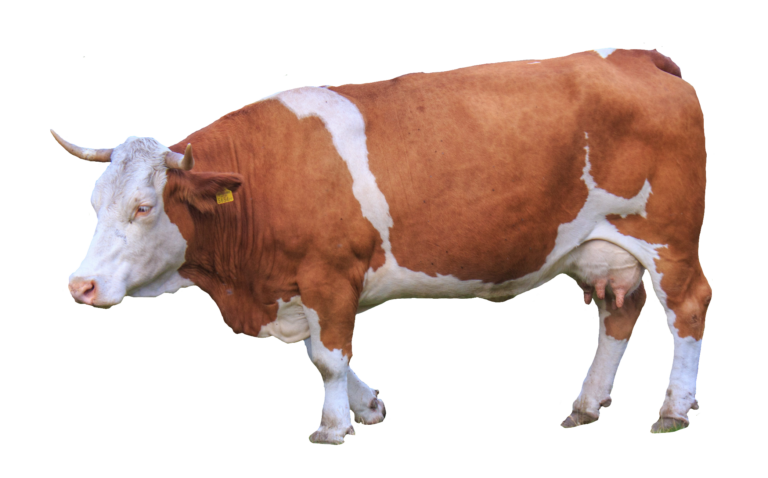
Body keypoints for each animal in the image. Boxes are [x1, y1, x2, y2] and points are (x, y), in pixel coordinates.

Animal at [55, 47, 711, 443]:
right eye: (95, 204)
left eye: (144, 206)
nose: (80, 285)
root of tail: (637, 56)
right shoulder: (306, 287)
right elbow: (323, 350)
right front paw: (366, 407)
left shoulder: (329, 273)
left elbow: (326, 356)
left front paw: (332, 425)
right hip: (600, 247)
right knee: (619, 314)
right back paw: (586, 404)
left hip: (669, 239)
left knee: (688, 308)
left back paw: (673, 409)